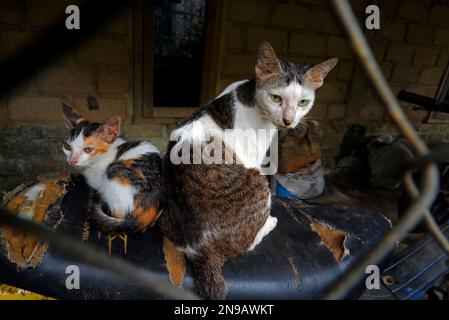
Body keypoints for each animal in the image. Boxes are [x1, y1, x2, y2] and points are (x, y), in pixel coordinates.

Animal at [159, 41, 338, 298]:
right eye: (276, 98)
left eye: (303, 103)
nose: (288, 120)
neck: (250, 94)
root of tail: (199, 249)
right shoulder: (253, 156)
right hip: (258, 181)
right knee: (248, 243)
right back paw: (269, 223)